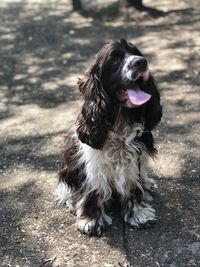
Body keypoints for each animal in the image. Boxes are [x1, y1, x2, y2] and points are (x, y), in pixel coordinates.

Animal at [55, 38, 162, 236]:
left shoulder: (134, 159)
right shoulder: (93, 162)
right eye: (114, 59)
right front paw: (91, 219)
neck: (120, 121)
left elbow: (133, 184)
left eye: (137, 53)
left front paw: (138, 213)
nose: (141, 62)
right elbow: (93, 188)